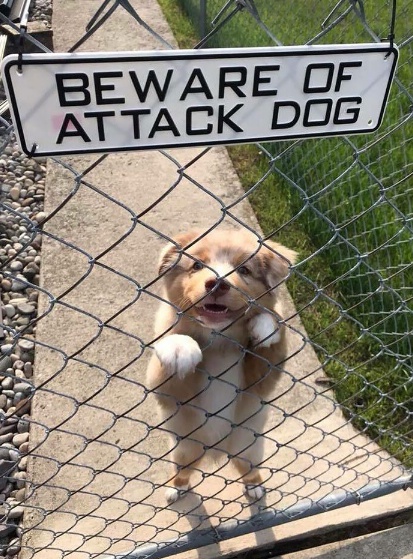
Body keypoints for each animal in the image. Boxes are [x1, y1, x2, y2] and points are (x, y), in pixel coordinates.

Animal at [147, 228, 296, 504]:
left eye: (244, 270)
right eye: (196, 265)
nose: (216, 283)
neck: (219, 340)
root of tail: (216, 451)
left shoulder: (258, 381)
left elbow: (272, 341)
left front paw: (265, 325)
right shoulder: (168, 390)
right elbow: (170, 355)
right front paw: (179, 347)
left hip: (248, 448)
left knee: (248, 469)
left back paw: (254, 486)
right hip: (185, 451)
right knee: (181, 472)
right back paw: (175, 488)